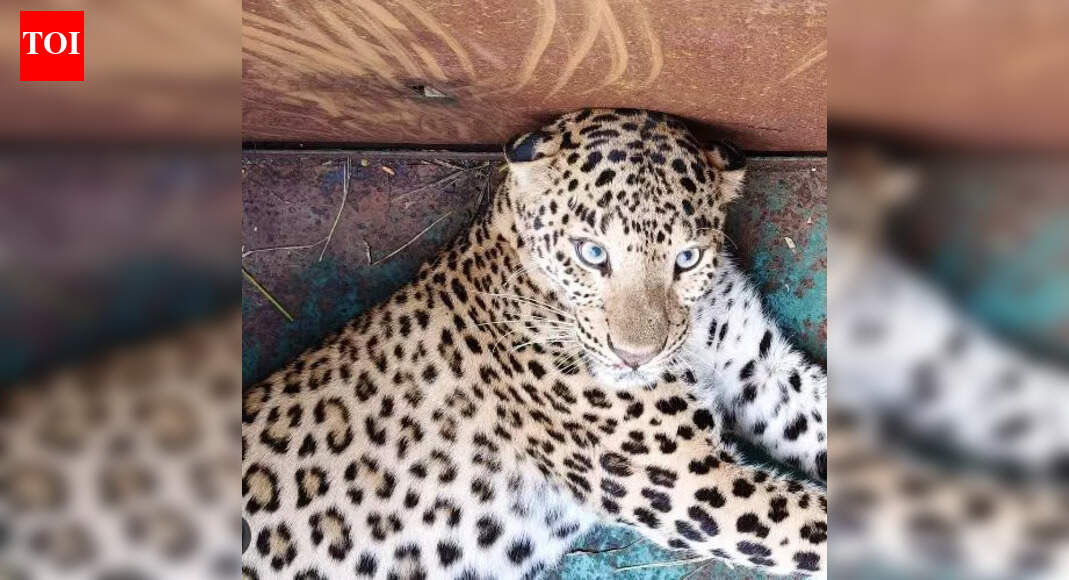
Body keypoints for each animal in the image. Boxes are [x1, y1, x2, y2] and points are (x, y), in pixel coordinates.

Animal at [241, 109, 828, 579]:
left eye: (686, 259)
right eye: (592, 253)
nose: (635, 357)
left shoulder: (762, 371)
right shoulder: (684, 477)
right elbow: (810, 528)